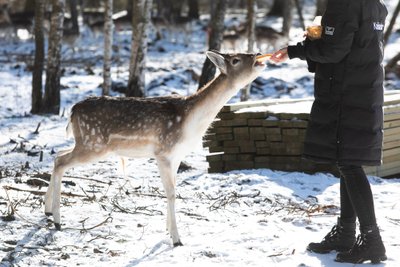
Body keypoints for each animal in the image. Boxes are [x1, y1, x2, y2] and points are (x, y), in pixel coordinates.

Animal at [44, 50, 266, 247]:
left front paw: (167, 230)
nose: (257, 55)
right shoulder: (163, 152)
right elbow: (171, 193)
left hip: (85, 143)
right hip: (94, 143)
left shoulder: (176, 156)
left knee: (57, 155)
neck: (190, 123)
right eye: (236, 60)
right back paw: (57, 220)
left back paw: (47, 211)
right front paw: (176, 239)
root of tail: (72, 111)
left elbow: (174, 190)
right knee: (61, 161)